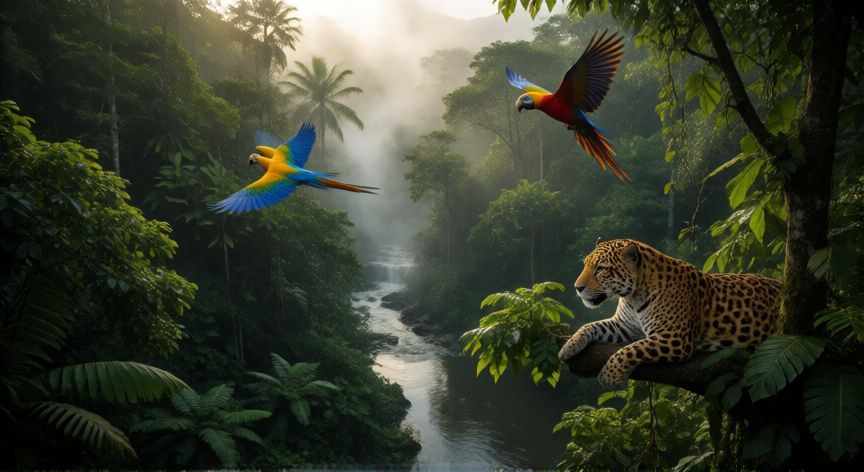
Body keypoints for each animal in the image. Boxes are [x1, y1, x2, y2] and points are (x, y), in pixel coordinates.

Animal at [558, 237, 782, 390]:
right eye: (586, 265)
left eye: (601, 269)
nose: (577, 287)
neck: (633, 297)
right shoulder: (623, 327)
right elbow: (590, 326)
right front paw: (568, 347)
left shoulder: (674, 338)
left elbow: (629, 350)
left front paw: (610, 377)